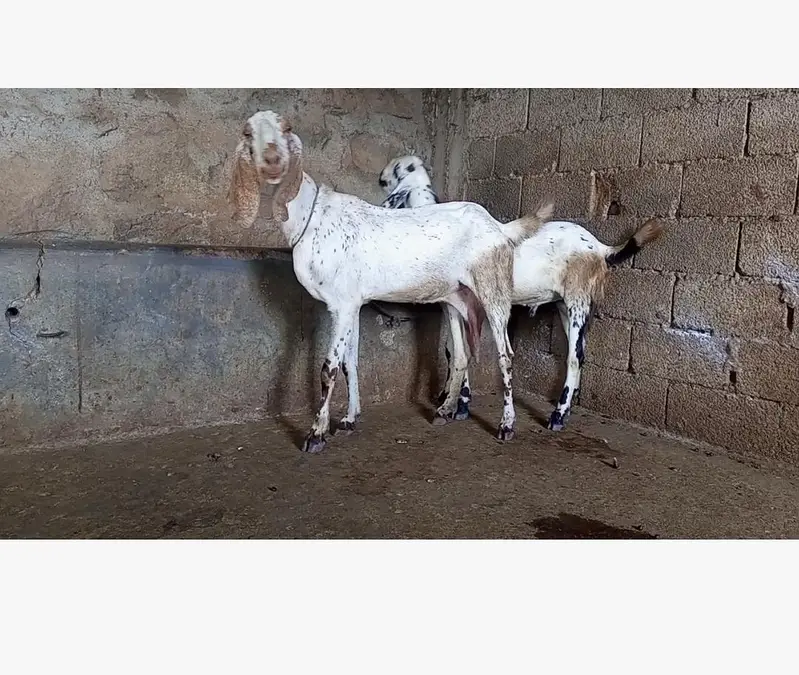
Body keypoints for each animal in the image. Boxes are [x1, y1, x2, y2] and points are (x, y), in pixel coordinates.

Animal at [228, 111, 554, 453]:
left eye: (287, 128)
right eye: (247, 132)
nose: (272, 160)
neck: (311, 217)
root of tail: (499, 228)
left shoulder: (342, 304)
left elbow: (329, 368)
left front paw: (316, 434)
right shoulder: (351, 304)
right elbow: (349, 362)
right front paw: (348, 419)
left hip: (493, 291)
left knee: (506, 357)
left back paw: (506, 425)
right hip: (456, 299)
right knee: (462, 355)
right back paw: (443, 411)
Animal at [379, 155, 665, 432]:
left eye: (395, 172)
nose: (380, 179)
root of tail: (601, 248)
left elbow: (460, 352)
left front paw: (457, 405)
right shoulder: (456, 308)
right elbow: (453, 351)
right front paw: (456, 403)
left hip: (578, 299)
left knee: (575, 356)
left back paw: (557, 416)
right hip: (566, 305)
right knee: (581, 351)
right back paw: (567, 409)